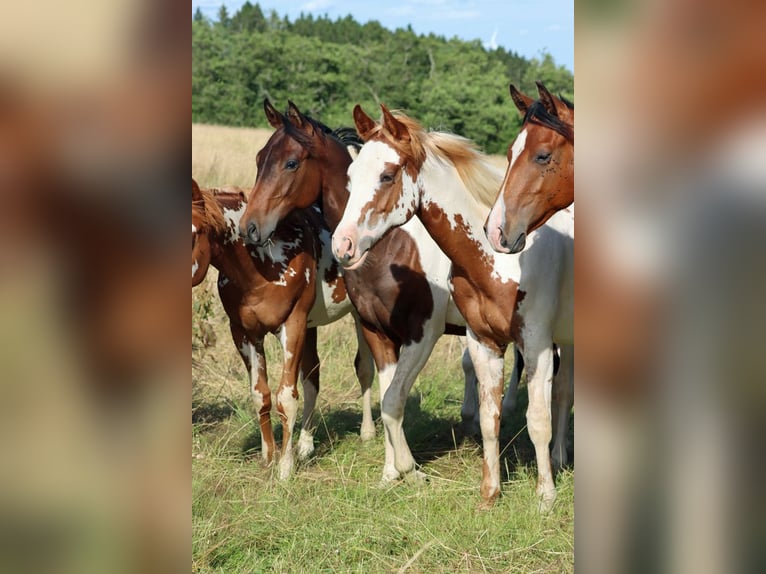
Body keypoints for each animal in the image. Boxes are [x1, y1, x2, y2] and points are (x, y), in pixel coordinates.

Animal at [192, 179, 375, 479]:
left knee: (366, 368)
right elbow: (261, 395)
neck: (262, 264)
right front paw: (269, 457)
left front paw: (285, 469)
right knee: (312, 375)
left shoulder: (293, 326)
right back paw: (305, 446)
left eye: (194, 234)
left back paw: (368, 433)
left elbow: (286, 397)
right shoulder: (244, 334)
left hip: (360, 315)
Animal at [237, 100, 522, 482]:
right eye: (259, 159)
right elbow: (388, 394)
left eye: (291, 163)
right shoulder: (377, 329)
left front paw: (409, 470)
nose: (250, 228)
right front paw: (390, 472)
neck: (391, 248)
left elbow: (393, 398)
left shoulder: (422, 333)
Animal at [332, 105, 574, 510]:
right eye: (349, 176)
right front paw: (490, 494)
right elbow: (489, 418)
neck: (499, 258)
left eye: (387, 175)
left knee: (562, 395)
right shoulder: (482, 341)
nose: (342, 245)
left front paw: (545, 497)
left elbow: (537, 418)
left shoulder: (535, 342)